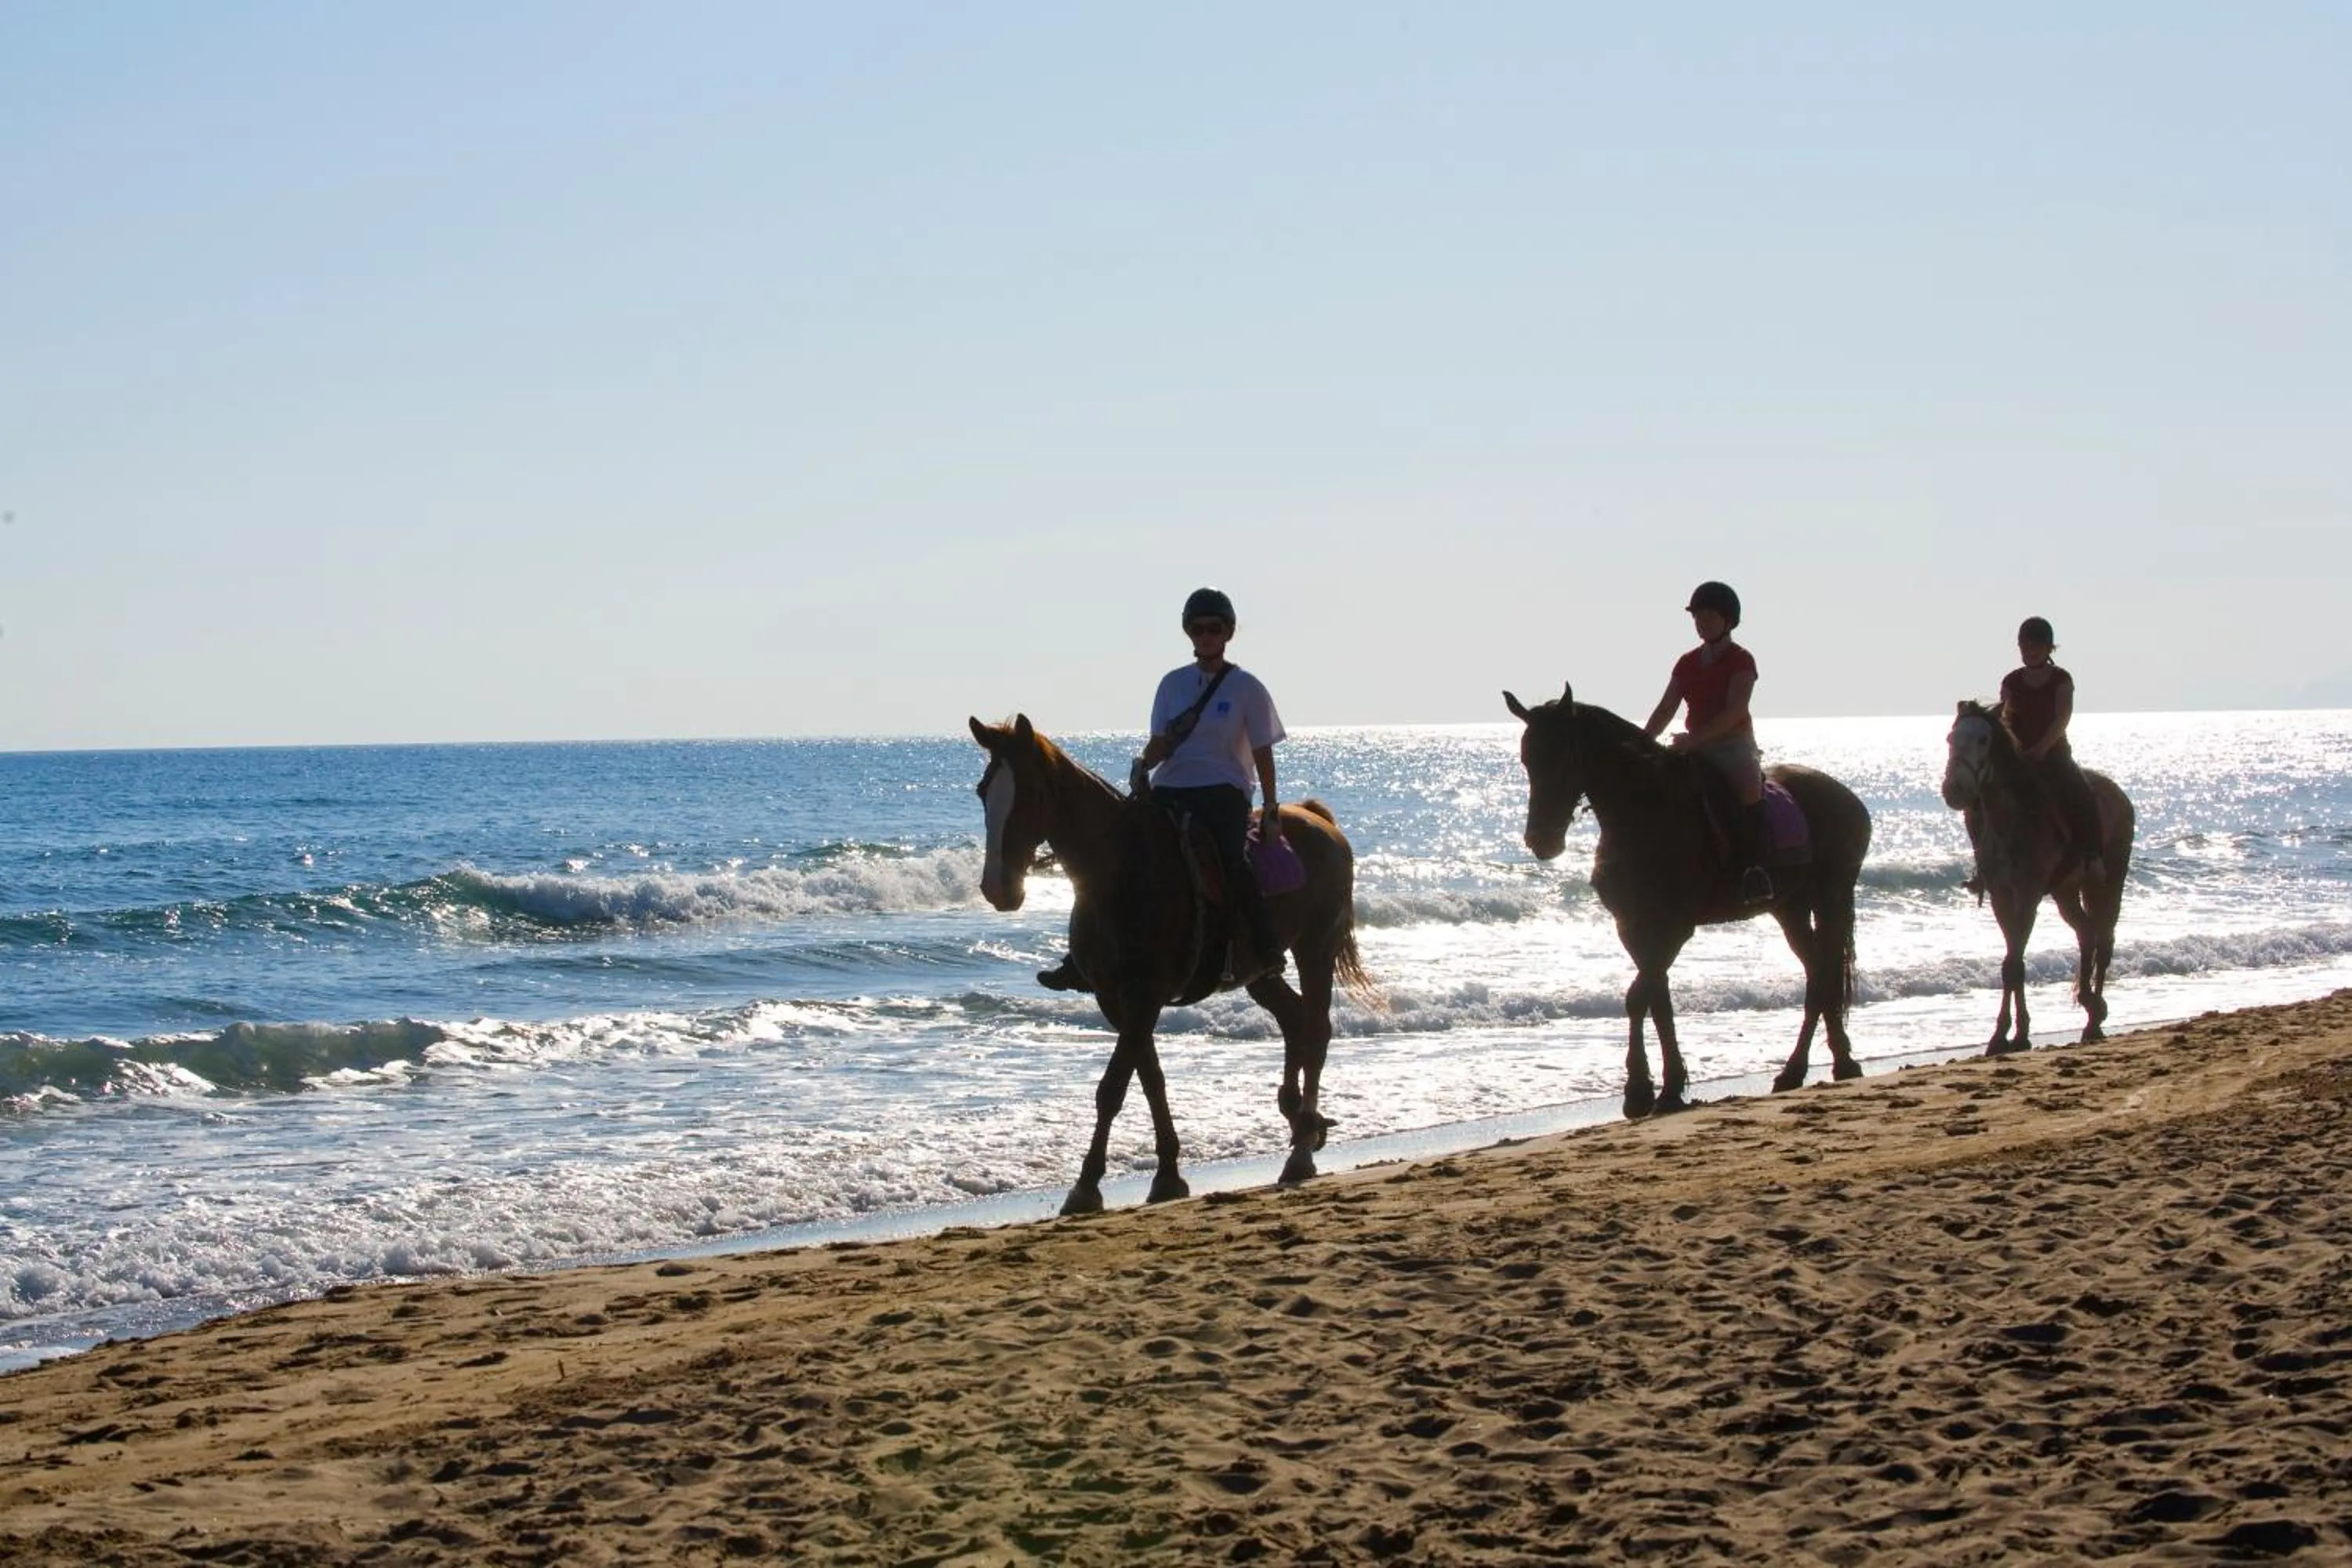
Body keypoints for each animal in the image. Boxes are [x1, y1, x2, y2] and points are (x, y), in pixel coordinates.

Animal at [968, 715, 1376, 1215]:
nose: (997, 888)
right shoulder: (1116, 1000)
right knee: (1293, 1020)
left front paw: (1086, 1185)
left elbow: (1112, 1088)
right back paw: (1301, 1120)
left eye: (1030, 792)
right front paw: (1166, 1173)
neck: (1118, 873)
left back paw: (1300, 1150)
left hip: (1315, 949)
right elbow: (1150, 1080)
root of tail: (1318, 819)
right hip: (1259, 973)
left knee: (1316, 1029)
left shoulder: (1144, 995)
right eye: (984, 791)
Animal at [1503, 684, 1874, 1118]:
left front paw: (1644, 1091)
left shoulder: (1674, 929)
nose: (1541, 842)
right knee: (1818, 972)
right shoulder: (1633, 926)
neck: (1645, 813)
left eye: (1564, 757)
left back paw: (1826, 1065)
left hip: (1833, 896)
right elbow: (1656, 1001)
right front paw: (1662, 1088)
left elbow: (1638, 997)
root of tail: (1845, 796)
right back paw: (1810, 1068)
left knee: (1824, 974)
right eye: (1528, 759)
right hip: (1791, 908)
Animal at [1940, 700, 2135, 1051]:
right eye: (1951, 738)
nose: (1955, 790)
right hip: (2066, 892)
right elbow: (2011, 963)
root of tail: (2118, 794)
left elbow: (2015, 963)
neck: (2010, 821)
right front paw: (2005, 1034)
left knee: (2104, 938)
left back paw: (2094, 1021)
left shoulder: (2027, 896)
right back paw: (2089, 1003)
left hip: (2110, 880)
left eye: (1984, 740)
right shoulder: (2002, 897)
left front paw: (2015, 1034)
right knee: (2086, 932)